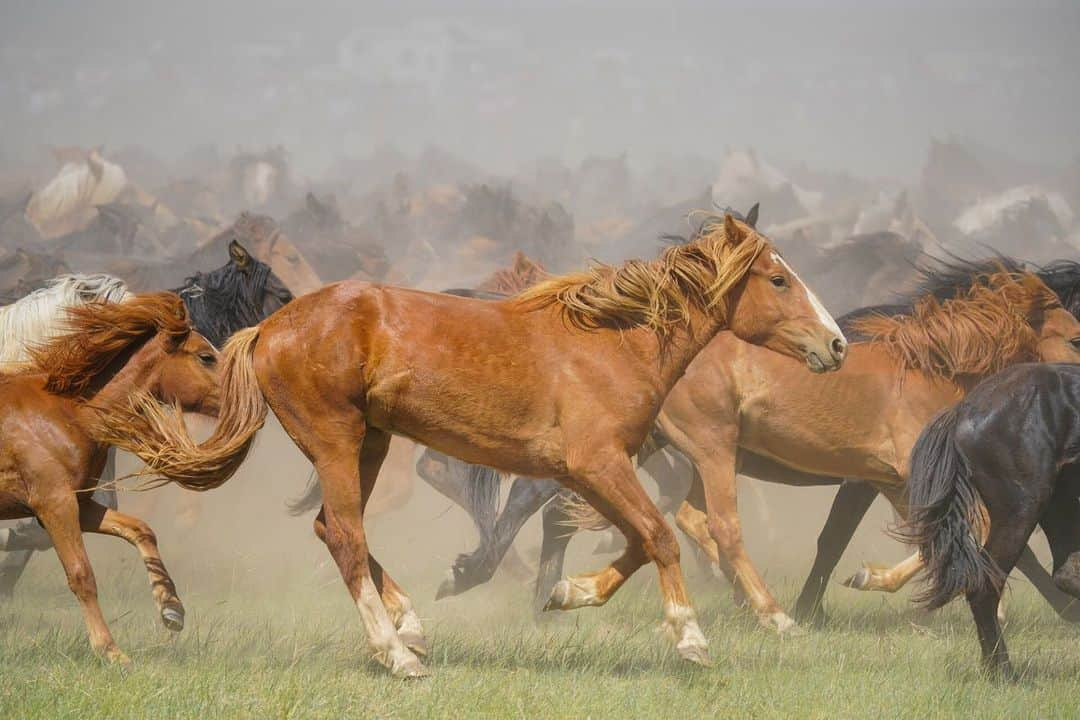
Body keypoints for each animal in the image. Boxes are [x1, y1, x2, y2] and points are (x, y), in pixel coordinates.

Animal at [898, 362, 1080, 677]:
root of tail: (963, 409)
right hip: (1023, 509)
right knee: (984, 586)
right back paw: (1002, 672)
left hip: (1057, 505)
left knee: (1066, 573)